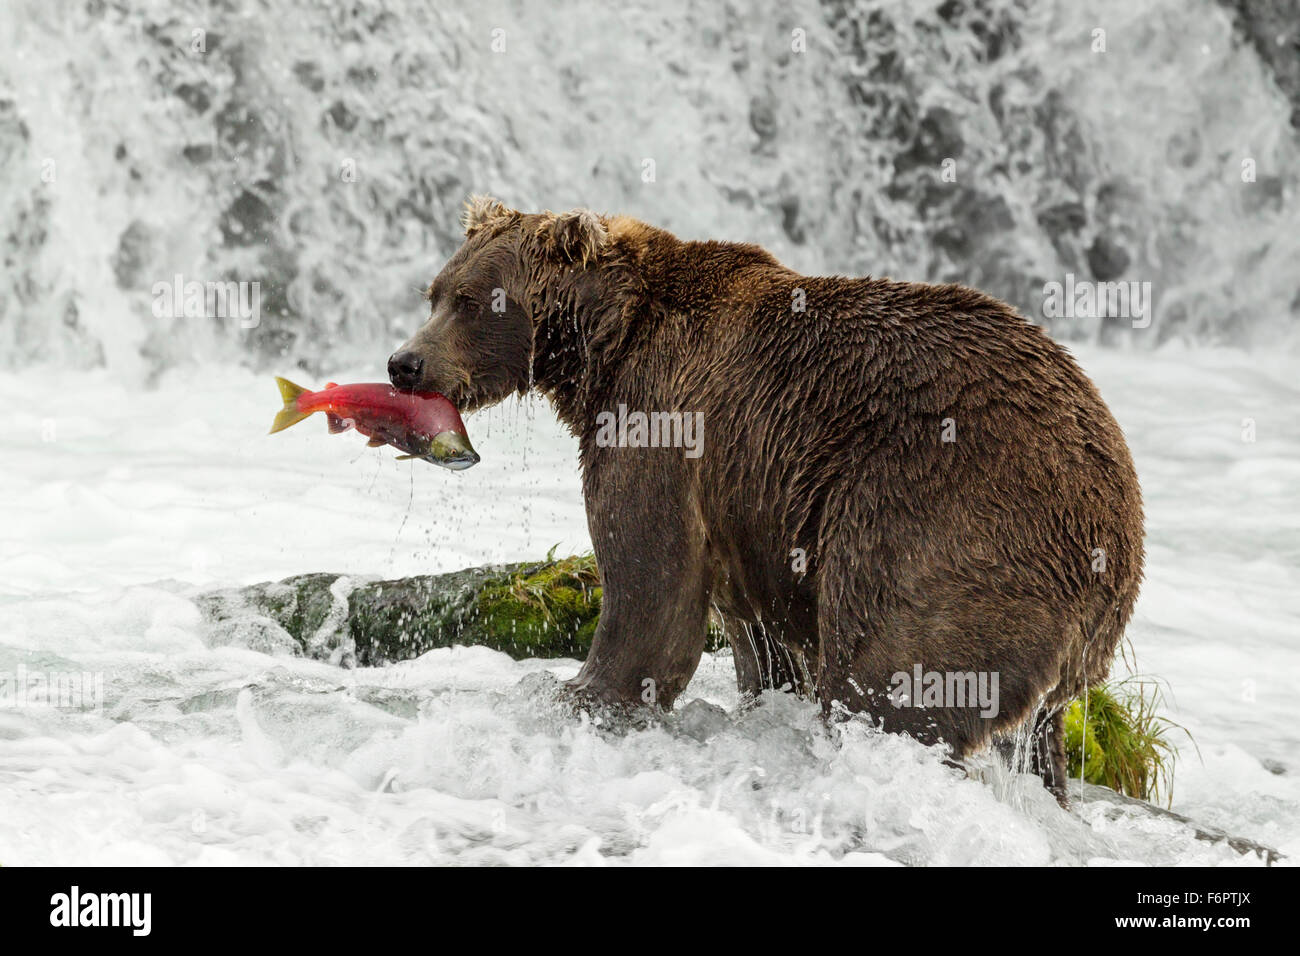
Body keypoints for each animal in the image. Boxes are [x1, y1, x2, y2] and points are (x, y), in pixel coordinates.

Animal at [390, 195, 1144, 801]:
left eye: (472, 300)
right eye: (435, 291)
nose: (404, 363)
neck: (605, 344)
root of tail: (1117, 523)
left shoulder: (663, 426)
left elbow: (650, 598)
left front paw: (574, 695)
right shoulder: (748, 506)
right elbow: (759, 642)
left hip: (949, 521)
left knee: (891, 678)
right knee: (1040, 741)